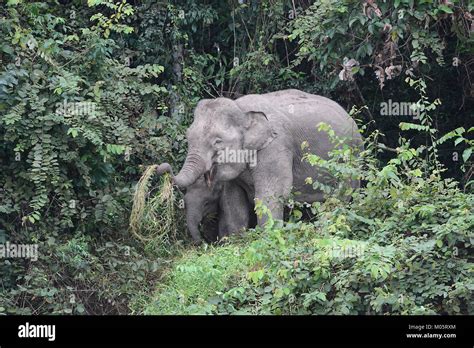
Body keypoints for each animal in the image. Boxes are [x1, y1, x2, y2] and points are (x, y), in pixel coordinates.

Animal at [159, 88, 362, 227]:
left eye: (217, 141)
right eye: (188, 136)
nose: (161, 166)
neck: (242, 110)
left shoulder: (276, 146)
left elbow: (271, 194)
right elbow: (232, 201)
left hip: (351, 159)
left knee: (341, 198)